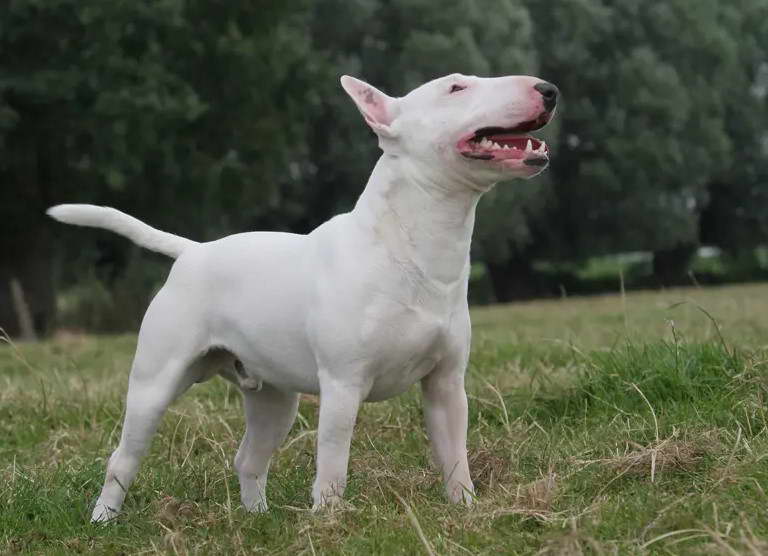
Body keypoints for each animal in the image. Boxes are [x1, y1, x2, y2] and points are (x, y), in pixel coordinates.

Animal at [48, 70, 560, 520]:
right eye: (455, 88)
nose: (548, 89)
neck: (411, 248)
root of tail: (193, 252)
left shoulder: (446, 384)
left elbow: (455, 456)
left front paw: (467, 509)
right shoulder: (342, 385)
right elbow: (333, 464)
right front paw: (330, 521)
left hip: (274, 398)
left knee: (249, 459)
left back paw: (258, 518)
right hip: (155, 383)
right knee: (123, 458)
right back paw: (103, 519)